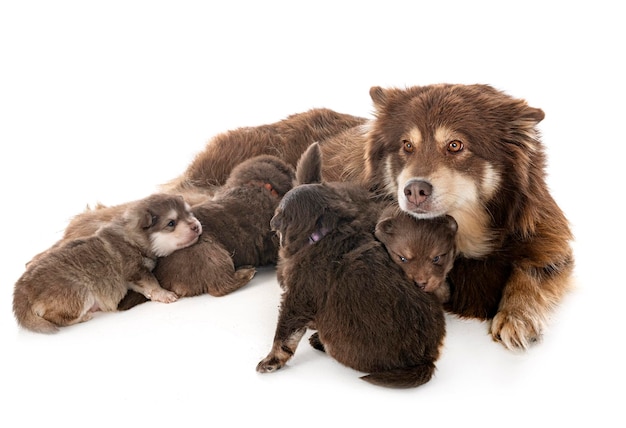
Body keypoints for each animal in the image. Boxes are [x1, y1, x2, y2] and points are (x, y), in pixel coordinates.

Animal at [168, 84, 572, 352]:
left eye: (456, 145)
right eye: (406, 145)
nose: (414, 190)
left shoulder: (548, 242)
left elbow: (532, 271)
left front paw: (517, 315)